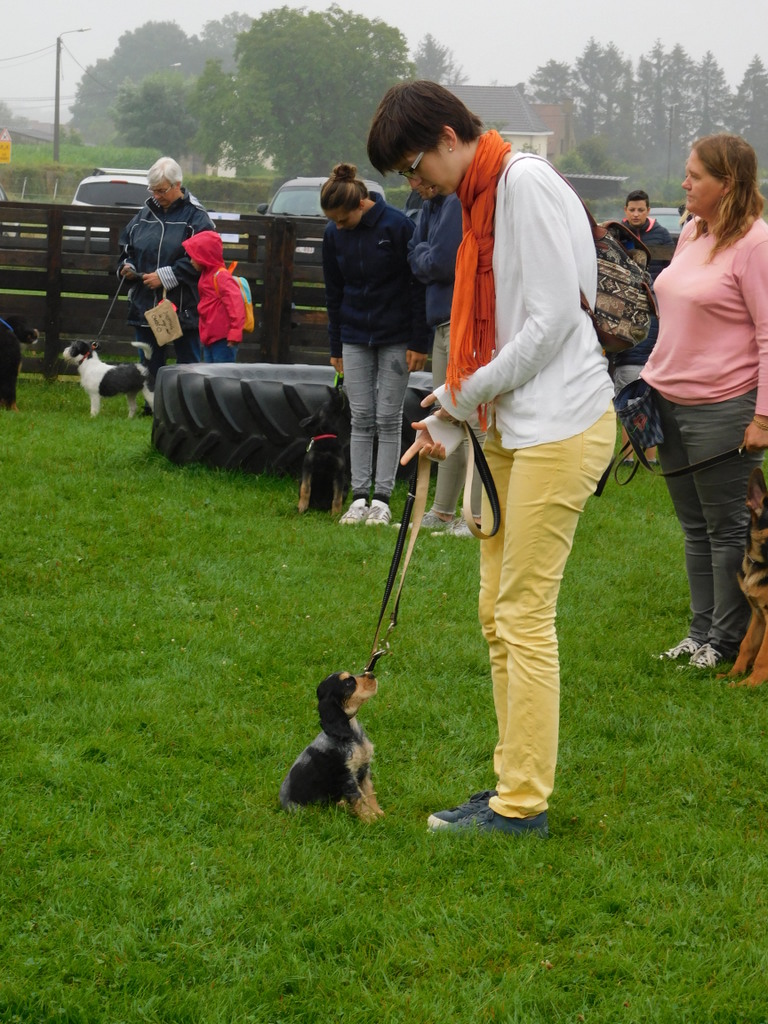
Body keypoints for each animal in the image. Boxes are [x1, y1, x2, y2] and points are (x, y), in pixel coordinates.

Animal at [279, 671, 384, 822]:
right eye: (348, 683)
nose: (371, 674)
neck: (351, 734)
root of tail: (282, 805)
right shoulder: (347, 777)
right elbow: (359, 798)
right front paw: (370, 819)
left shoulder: (364, 769)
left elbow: (369, 792)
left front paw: (378, 813)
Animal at [297, 384, 351, 515]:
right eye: (326, 404)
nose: (336, 389)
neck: (327, 436)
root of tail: (319, 507)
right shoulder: (308, 469)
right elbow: (306, 488)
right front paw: (302, 506)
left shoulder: (339, 474)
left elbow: (337, 497)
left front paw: (336, 514)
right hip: (300, 480)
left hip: (346, 483)